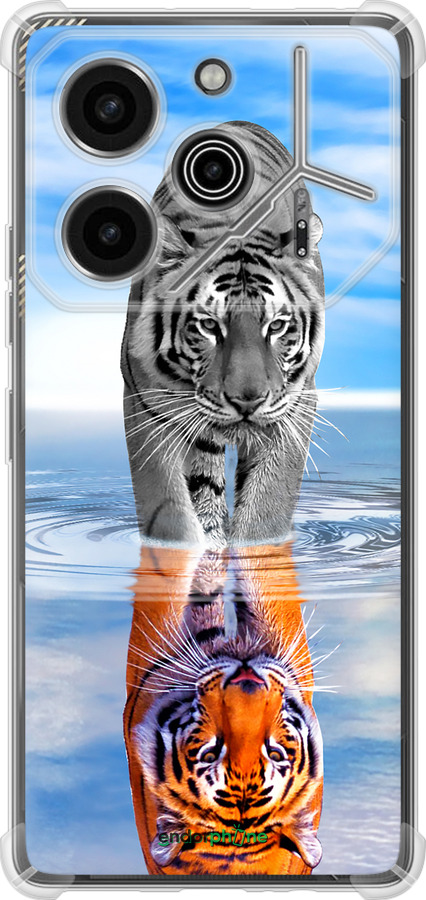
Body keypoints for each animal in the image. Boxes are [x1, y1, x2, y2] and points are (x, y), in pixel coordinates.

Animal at [121, 120, 325, 548]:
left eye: (277, 326)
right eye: (209, 325)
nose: (248, 401)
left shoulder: (296, 406)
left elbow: (266, 509)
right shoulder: (145, 404)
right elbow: (169, 511)